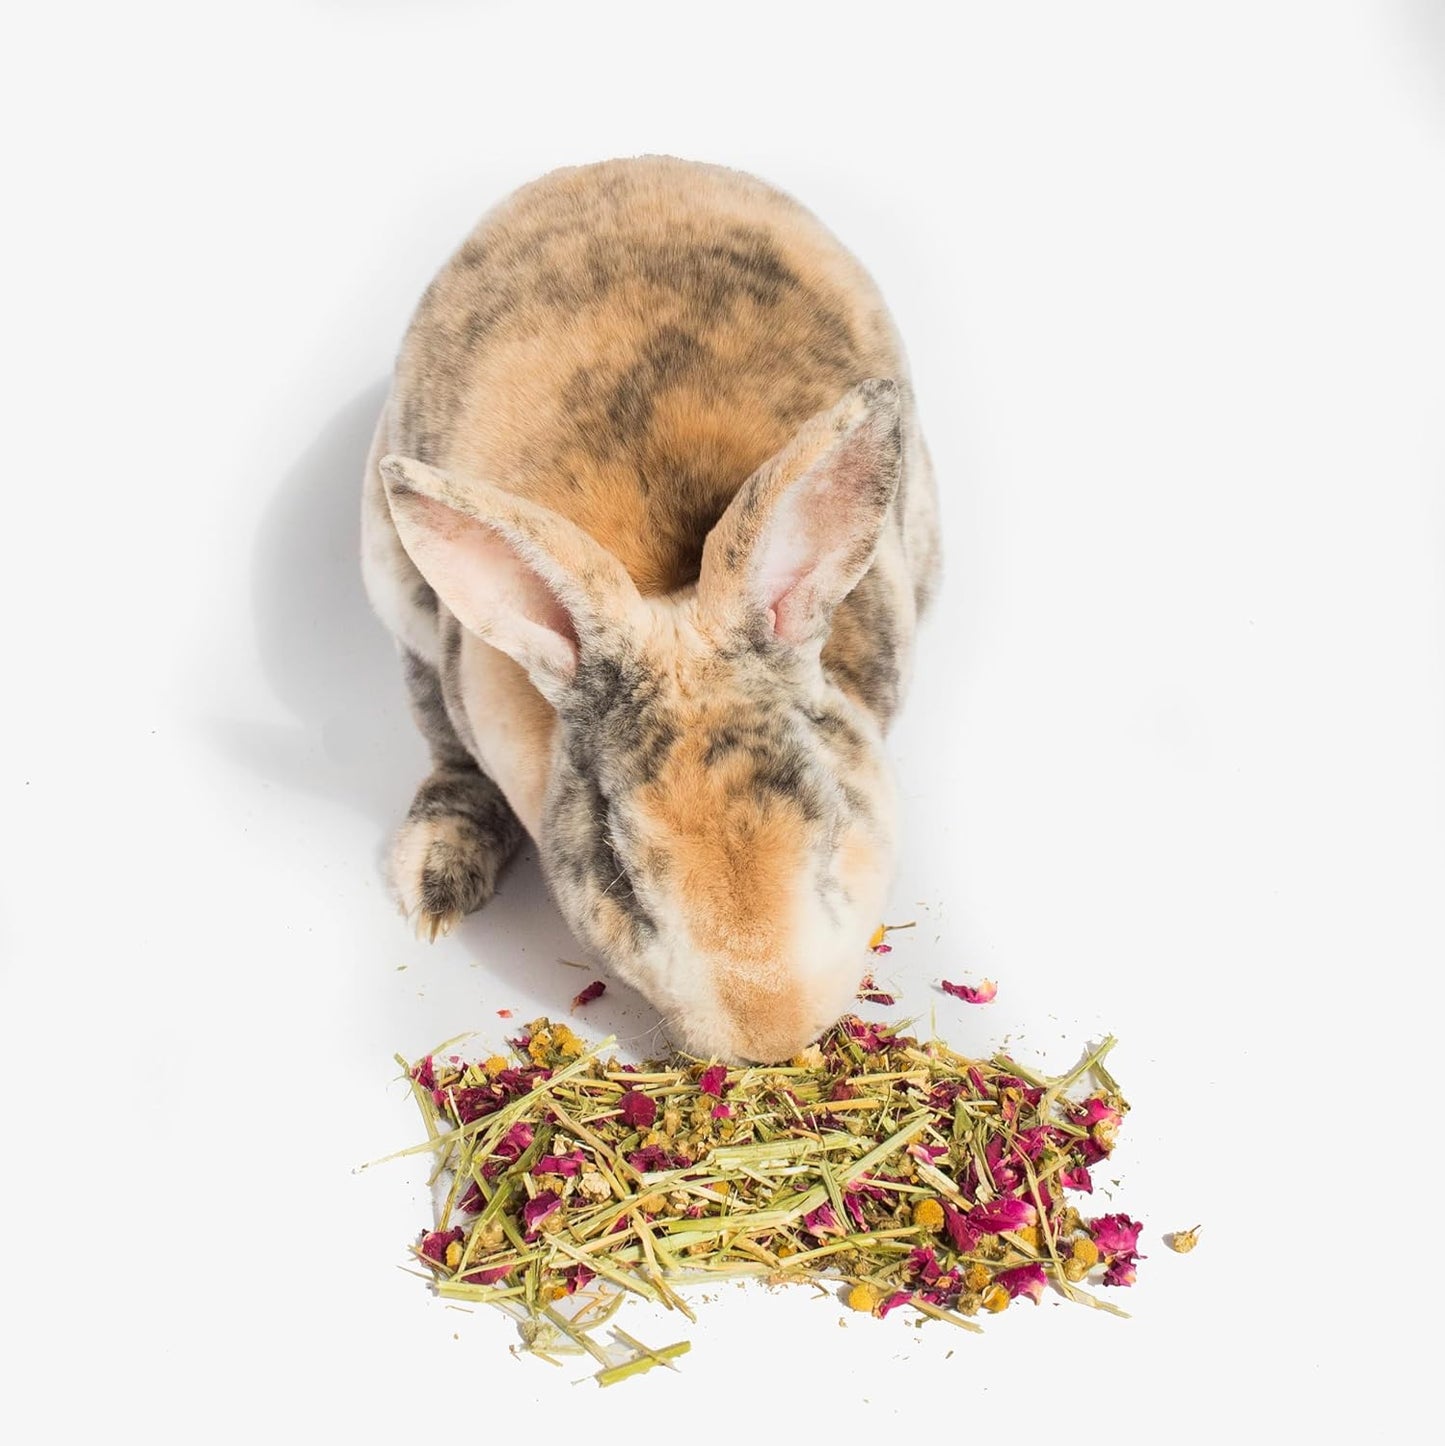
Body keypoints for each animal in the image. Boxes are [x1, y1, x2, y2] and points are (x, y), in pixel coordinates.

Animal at [361, 155, 941, 1063]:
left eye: (829, 814)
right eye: (620, 873)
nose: (772, 1033)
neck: (662, 585)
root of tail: (622, 165)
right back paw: (437, 877)